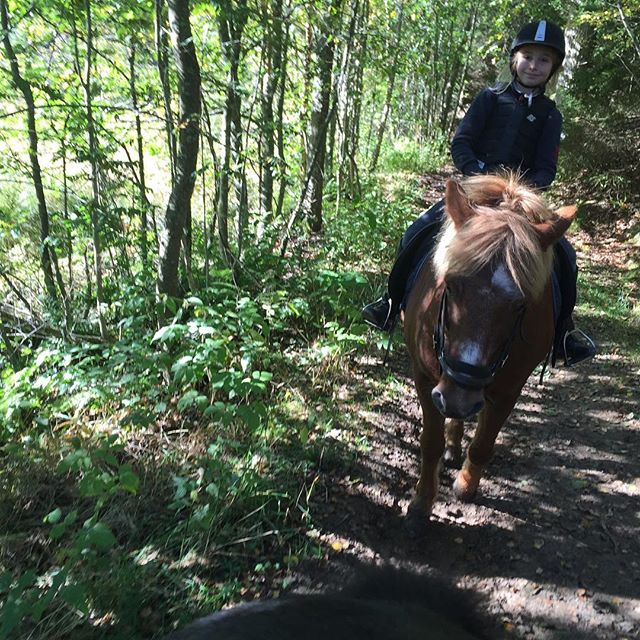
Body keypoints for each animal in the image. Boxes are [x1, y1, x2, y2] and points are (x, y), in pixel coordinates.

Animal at [402, 175, 576, 520]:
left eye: (521, 305)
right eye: (449, 284)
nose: (460, 395)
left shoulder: (509, 389)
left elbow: (483, 444)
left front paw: (465, 486)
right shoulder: (426, 377)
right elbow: (430, 442)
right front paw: (422, 501)